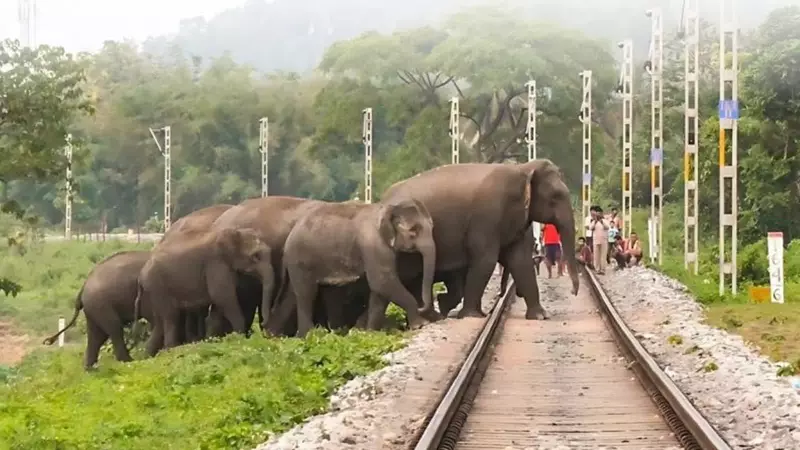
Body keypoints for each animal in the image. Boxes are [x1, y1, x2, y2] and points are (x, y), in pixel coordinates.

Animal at [134, 227, 273, 356]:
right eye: (255, 256)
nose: (263, 323)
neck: (235, 231)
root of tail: (141, 275)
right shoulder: (216, 264)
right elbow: (223, 297)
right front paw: (240, 339)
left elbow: (219, 304)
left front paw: (213, 341)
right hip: (158, 287)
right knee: (171, 317)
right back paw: (171, 351)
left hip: (154, 291)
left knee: (159, 323)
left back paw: (149, 356)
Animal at [282, 197, 437, 337]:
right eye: (413, 231)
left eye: (432, 227)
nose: (422, 306)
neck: (387, 208)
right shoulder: (373, 245)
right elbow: (382, 282)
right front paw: (421, 325)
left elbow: (379, 290)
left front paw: (371, 332)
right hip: (298, 260)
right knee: (306, 294)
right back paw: (309, 335)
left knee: (330, 293)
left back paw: (336, 333)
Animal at [381, 158, 579, 321]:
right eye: (555, 197)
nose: (573, 292)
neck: (522, 168)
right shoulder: (486, 216)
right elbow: (486, 260)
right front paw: (471, 315)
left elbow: (520, 261)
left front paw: (540, 316)